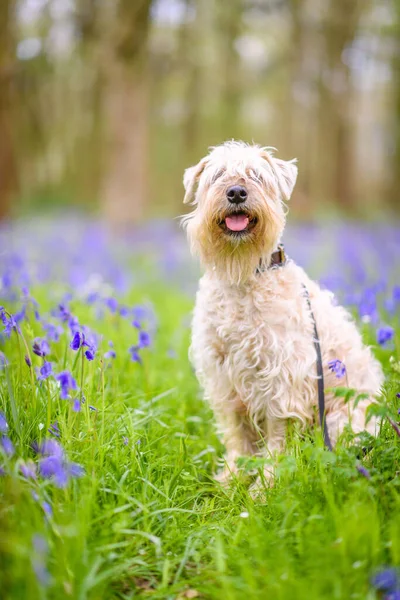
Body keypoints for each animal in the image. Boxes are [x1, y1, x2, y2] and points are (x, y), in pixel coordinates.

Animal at [182, 141, 384, 492]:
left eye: (257, 176)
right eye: (218, 175)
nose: (236, 192)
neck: (244, 276)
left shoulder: (283, 376)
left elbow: (277, 438)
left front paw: (265, 486)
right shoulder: (224, 377)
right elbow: (238, 435)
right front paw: (231, 478)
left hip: (343, 420)